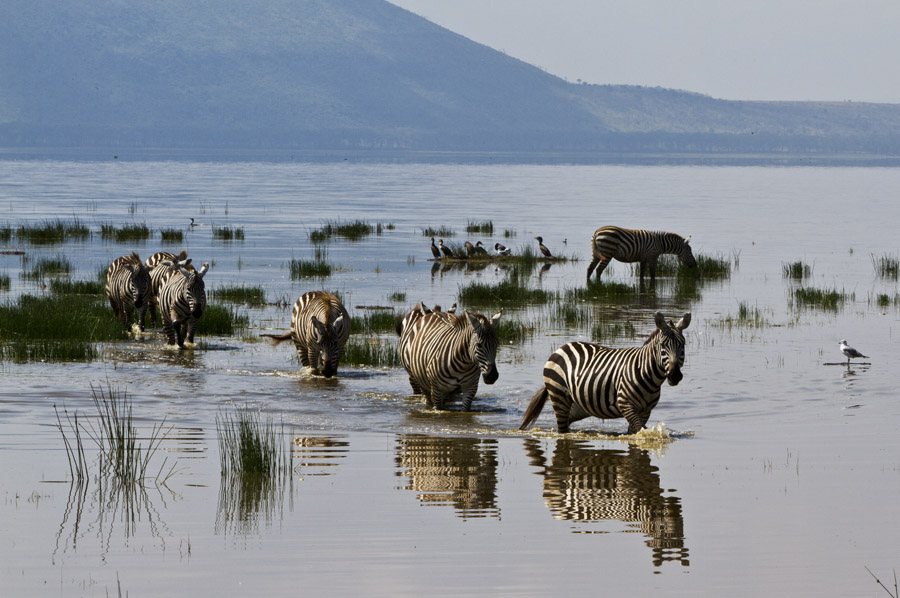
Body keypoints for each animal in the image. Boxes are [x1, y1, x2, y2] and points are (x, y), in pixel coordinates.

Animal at [516, 314, 692, 436]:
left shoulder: (645, 411)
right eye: (663, 345)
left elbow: (634, 432)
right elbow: (639, 432)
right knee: (562, 428)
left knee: (566, 422)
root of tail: (561, 348)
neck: (649, 375)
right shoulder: (626, 404)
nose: (675, 375)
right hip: (559, 395)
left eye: (683, 344)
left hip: (580, 404)